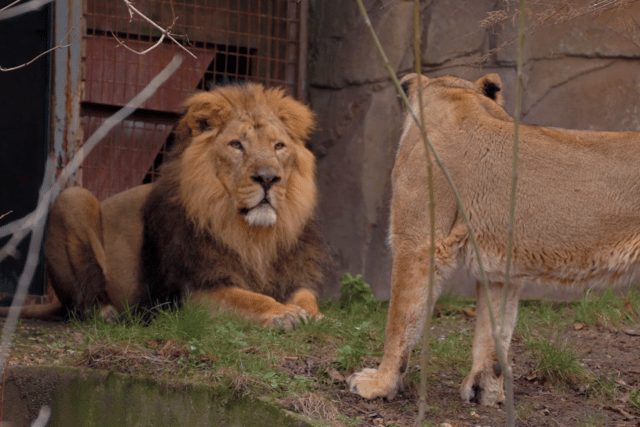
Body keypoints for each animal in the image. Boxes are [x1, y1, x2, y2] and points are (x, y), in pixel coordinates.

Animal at [2, 83, 330, 328]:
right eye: (237, 145)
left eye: (279, 146)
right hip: (71, 199)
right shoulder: (194, 291)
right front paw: (282, 313)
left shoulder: (295, 274)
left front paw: (316, 316)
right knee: (81, 305)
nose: (268, 178)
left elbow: (306, 297)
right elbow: (249, 298)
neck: (253, 236)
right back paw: (107, 313)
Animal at [347, 73, 640, 406]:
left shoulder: (417, 242)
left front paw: (379, 383)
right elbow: (494, 329)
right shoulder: (501, 269)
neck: (460, 98)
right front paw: (483, 390)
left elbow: (400, 320)